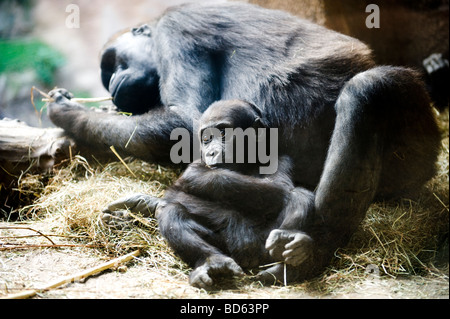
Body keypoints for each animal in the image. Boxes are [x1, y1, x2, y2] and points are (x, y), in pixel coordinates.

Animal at [101, 99, 316, 288]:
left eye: (222, 132)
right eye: (206, 139)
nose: (211, 152)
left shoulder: (281, 158)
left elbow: (279, 186)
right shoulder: (199, 163)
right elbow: (185, 189)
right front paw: (142, 205)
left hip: (263, 252)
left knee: (295, 197)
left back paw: (291, 245)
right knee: (173, 213)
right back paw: (214, 262)